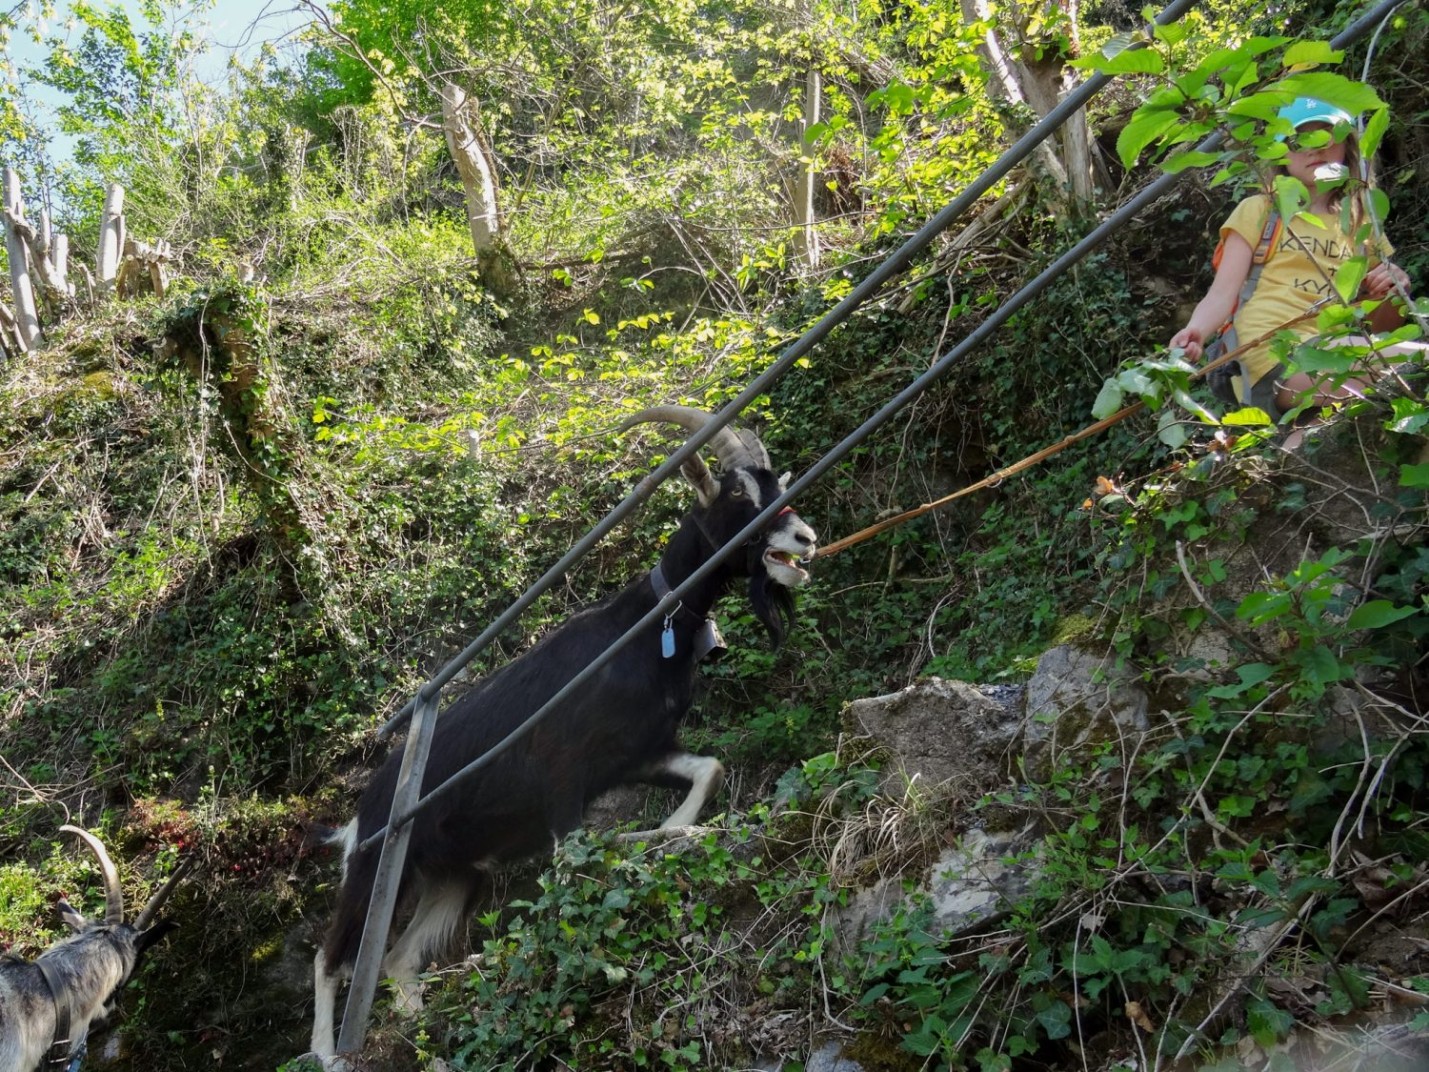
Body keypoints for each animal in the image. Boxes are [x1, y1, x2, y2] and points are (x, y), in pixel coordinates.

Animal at [311, 405, 817, 1060]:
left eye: (776, 483)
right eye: (736, 493)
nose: (804, 538)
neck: (641, 631)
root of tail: (361, 811)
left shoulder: (635, 753)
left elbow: (708, 770)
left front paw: (672, 828)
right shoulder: (561, 769)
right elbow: (576, 854)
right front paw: (648, 840)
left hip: (454, 876)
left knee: (397, 959)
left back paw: (415, 1024)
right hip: (375, 872)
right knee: (331, 958)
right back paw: (328, 1052)